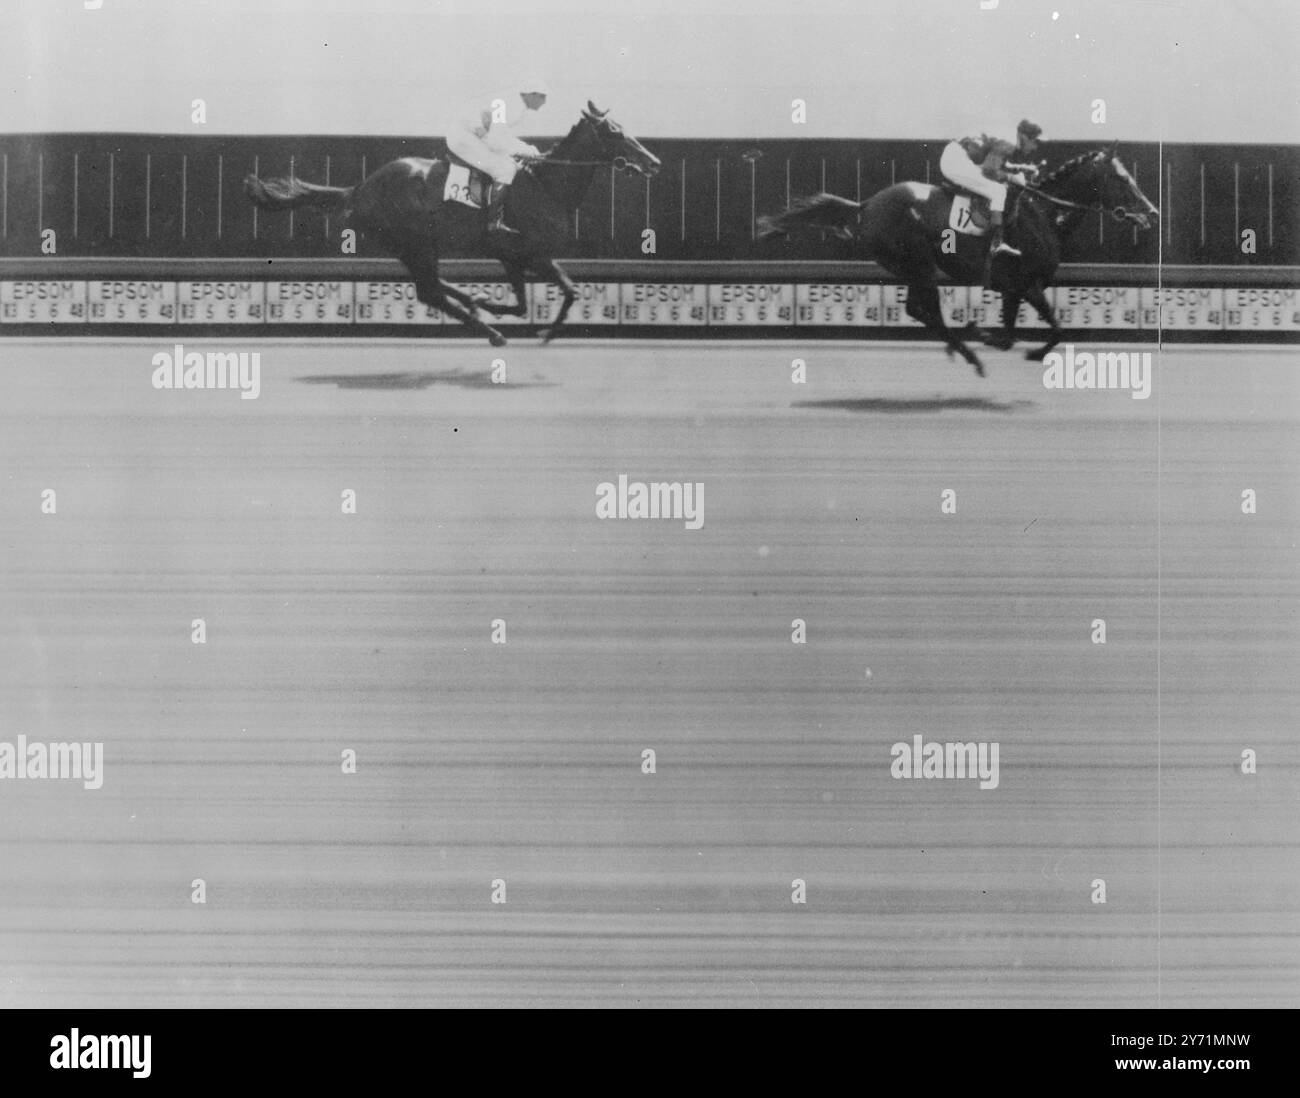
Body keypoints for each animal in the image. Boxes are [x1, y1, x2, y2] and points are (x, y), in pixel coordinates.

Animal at [245, 103, 660, 345]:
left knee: (433, 288)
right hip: (415, 242)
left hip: (413, 247)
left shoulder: (514, 255)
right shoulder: (530, 252)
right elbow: (570, 291)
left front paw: (490, 303)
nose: (653, 161)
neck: (546, 185)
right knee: (430, 291)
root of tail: (361, 187)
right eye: (615, 132)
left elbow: (524, 303)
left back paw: (474, 305)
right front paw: (544, 333)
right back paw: (492, 332)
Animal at [759, 145, 1164, 371]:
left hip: (915, 269)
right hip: (919, 264)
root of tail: (866, 205)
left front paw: (992, 335)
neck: (1044, 215)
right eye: (1121, 179)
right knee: (924, 310)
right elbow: (1053, 328)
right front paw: (995, 338)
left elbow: (1014, 334)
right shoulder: (1026, 284)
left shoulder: (1013, 288)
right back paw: (969, 353)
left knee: (919, 310)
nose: (1152, 212)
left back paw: (963, 349)